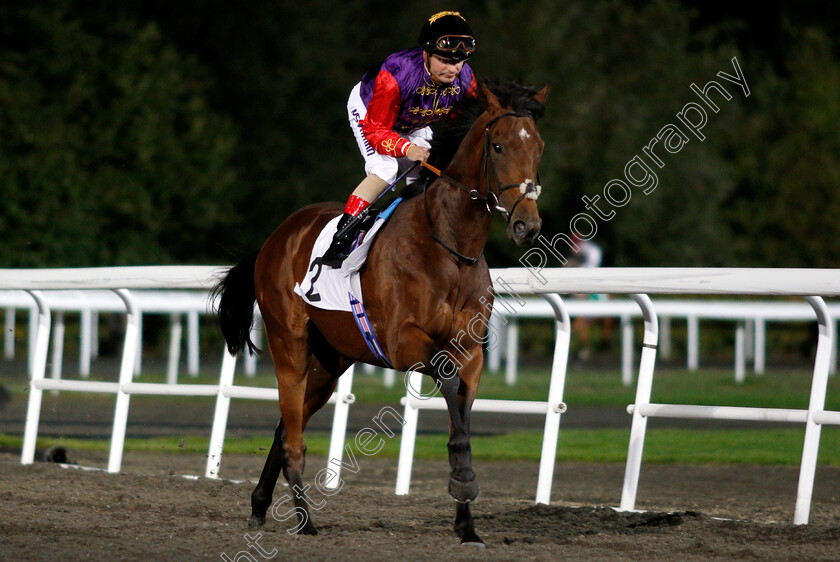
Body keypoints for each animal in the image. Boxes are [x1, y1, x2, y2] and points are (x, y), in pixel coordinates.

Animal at [213, 79, 548, 544]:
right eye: (498, 146)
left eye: (538, 147)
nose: (526, 226)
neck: (450, 248)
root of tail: (274, 239)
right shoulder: (403, 341)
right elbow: (446, 379)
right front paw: (463, 480)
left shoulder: (471, 352)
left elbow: (461, 411)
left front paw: (467, 524)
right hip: (289, 345)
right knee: (293, 437)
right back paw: (304, 520)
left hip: (328, 362)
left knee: (284, 428)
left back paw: (261, 506)